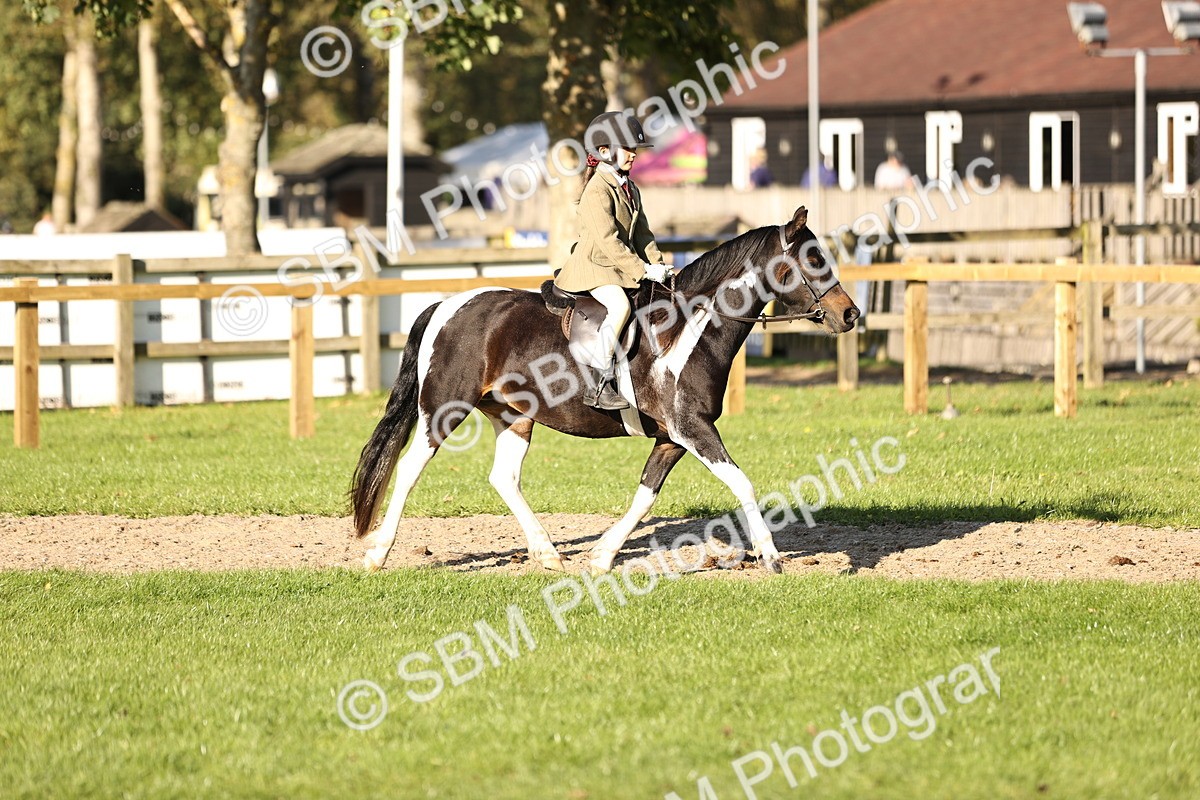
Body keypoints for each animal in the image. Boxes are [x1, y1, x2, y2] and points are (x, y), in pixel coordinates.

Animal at [350, 206, 860, 575]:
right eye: (814, 259)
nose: (850, 314)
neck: (689, 328)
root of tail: (445, 304)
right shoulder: (693, 429)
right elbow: (742, 482)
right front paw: (770, 555)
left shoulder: (673, 437)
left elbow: (646, 495)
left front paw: (601, 556)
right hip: (443, 408)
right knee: (410, 467)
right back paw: (377, 554)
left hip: (514, 415)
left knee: (504, 478)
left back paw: (548, 554)